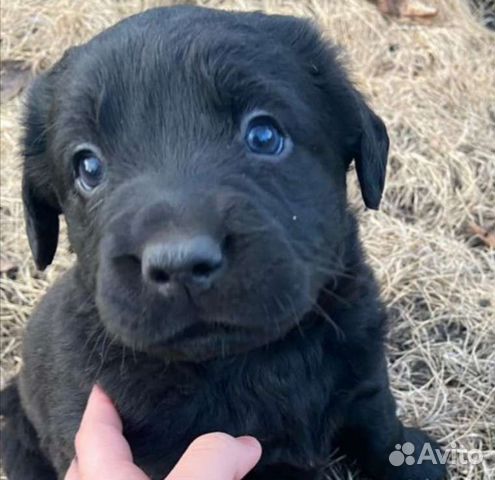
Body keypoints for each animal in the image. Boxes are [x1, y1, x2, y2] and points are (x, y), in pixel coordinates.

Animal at [0, 4, 448, 480]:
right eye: (88, 167)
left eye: (264, 136)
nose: (180, 265)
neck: (257, 359)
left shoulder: (362, 364)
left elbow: (378, 421)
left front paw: (412, 460)